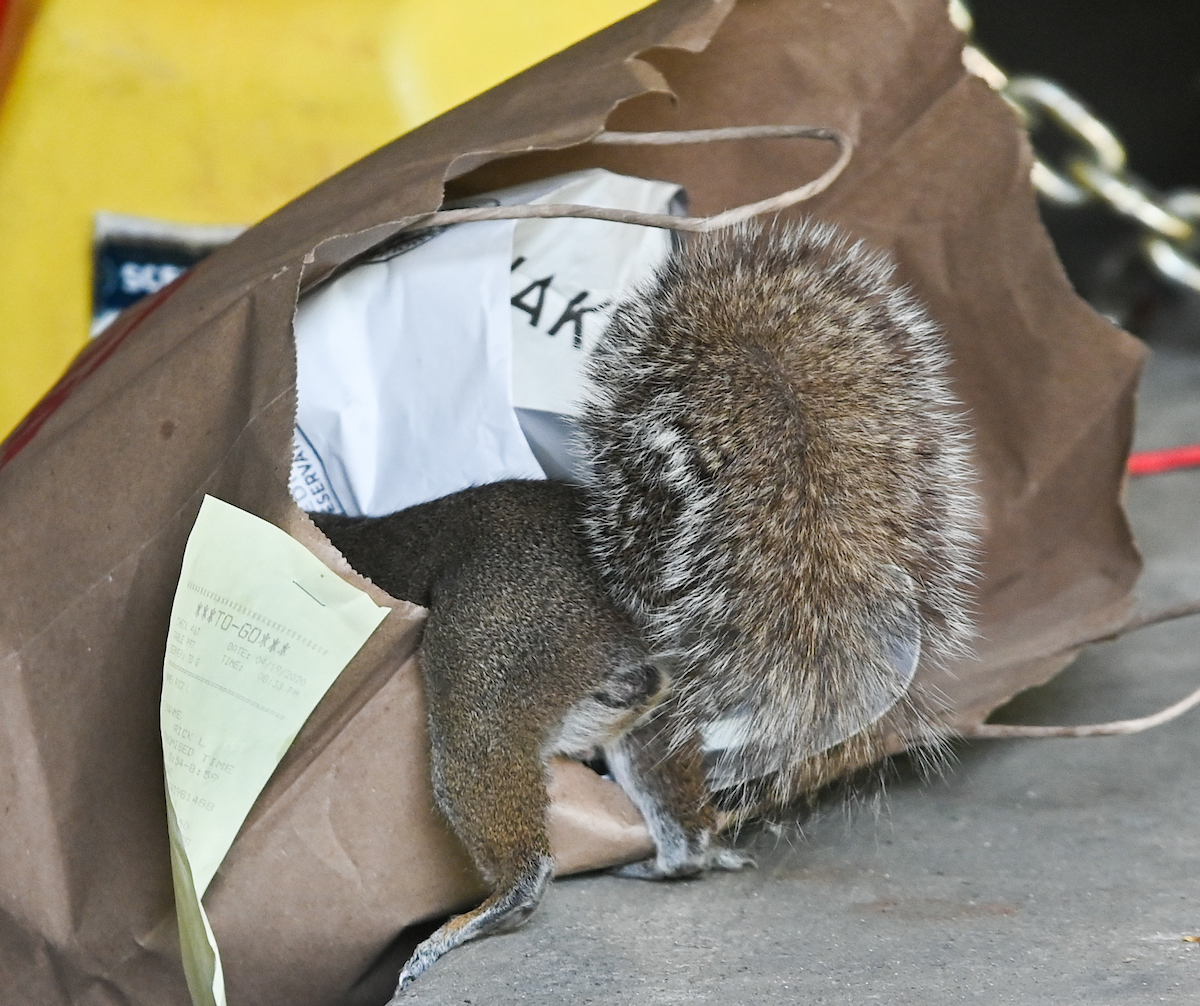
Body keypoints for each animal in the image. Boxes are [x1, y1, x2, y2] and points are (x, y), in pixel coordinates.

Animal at [309, 219, 979, 999]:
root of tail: (634, 597)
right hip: (656, 712)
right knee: (683, 829)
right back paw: (668, 859)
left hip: (487, 657)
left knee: (512, 829)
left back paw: (472, 919)